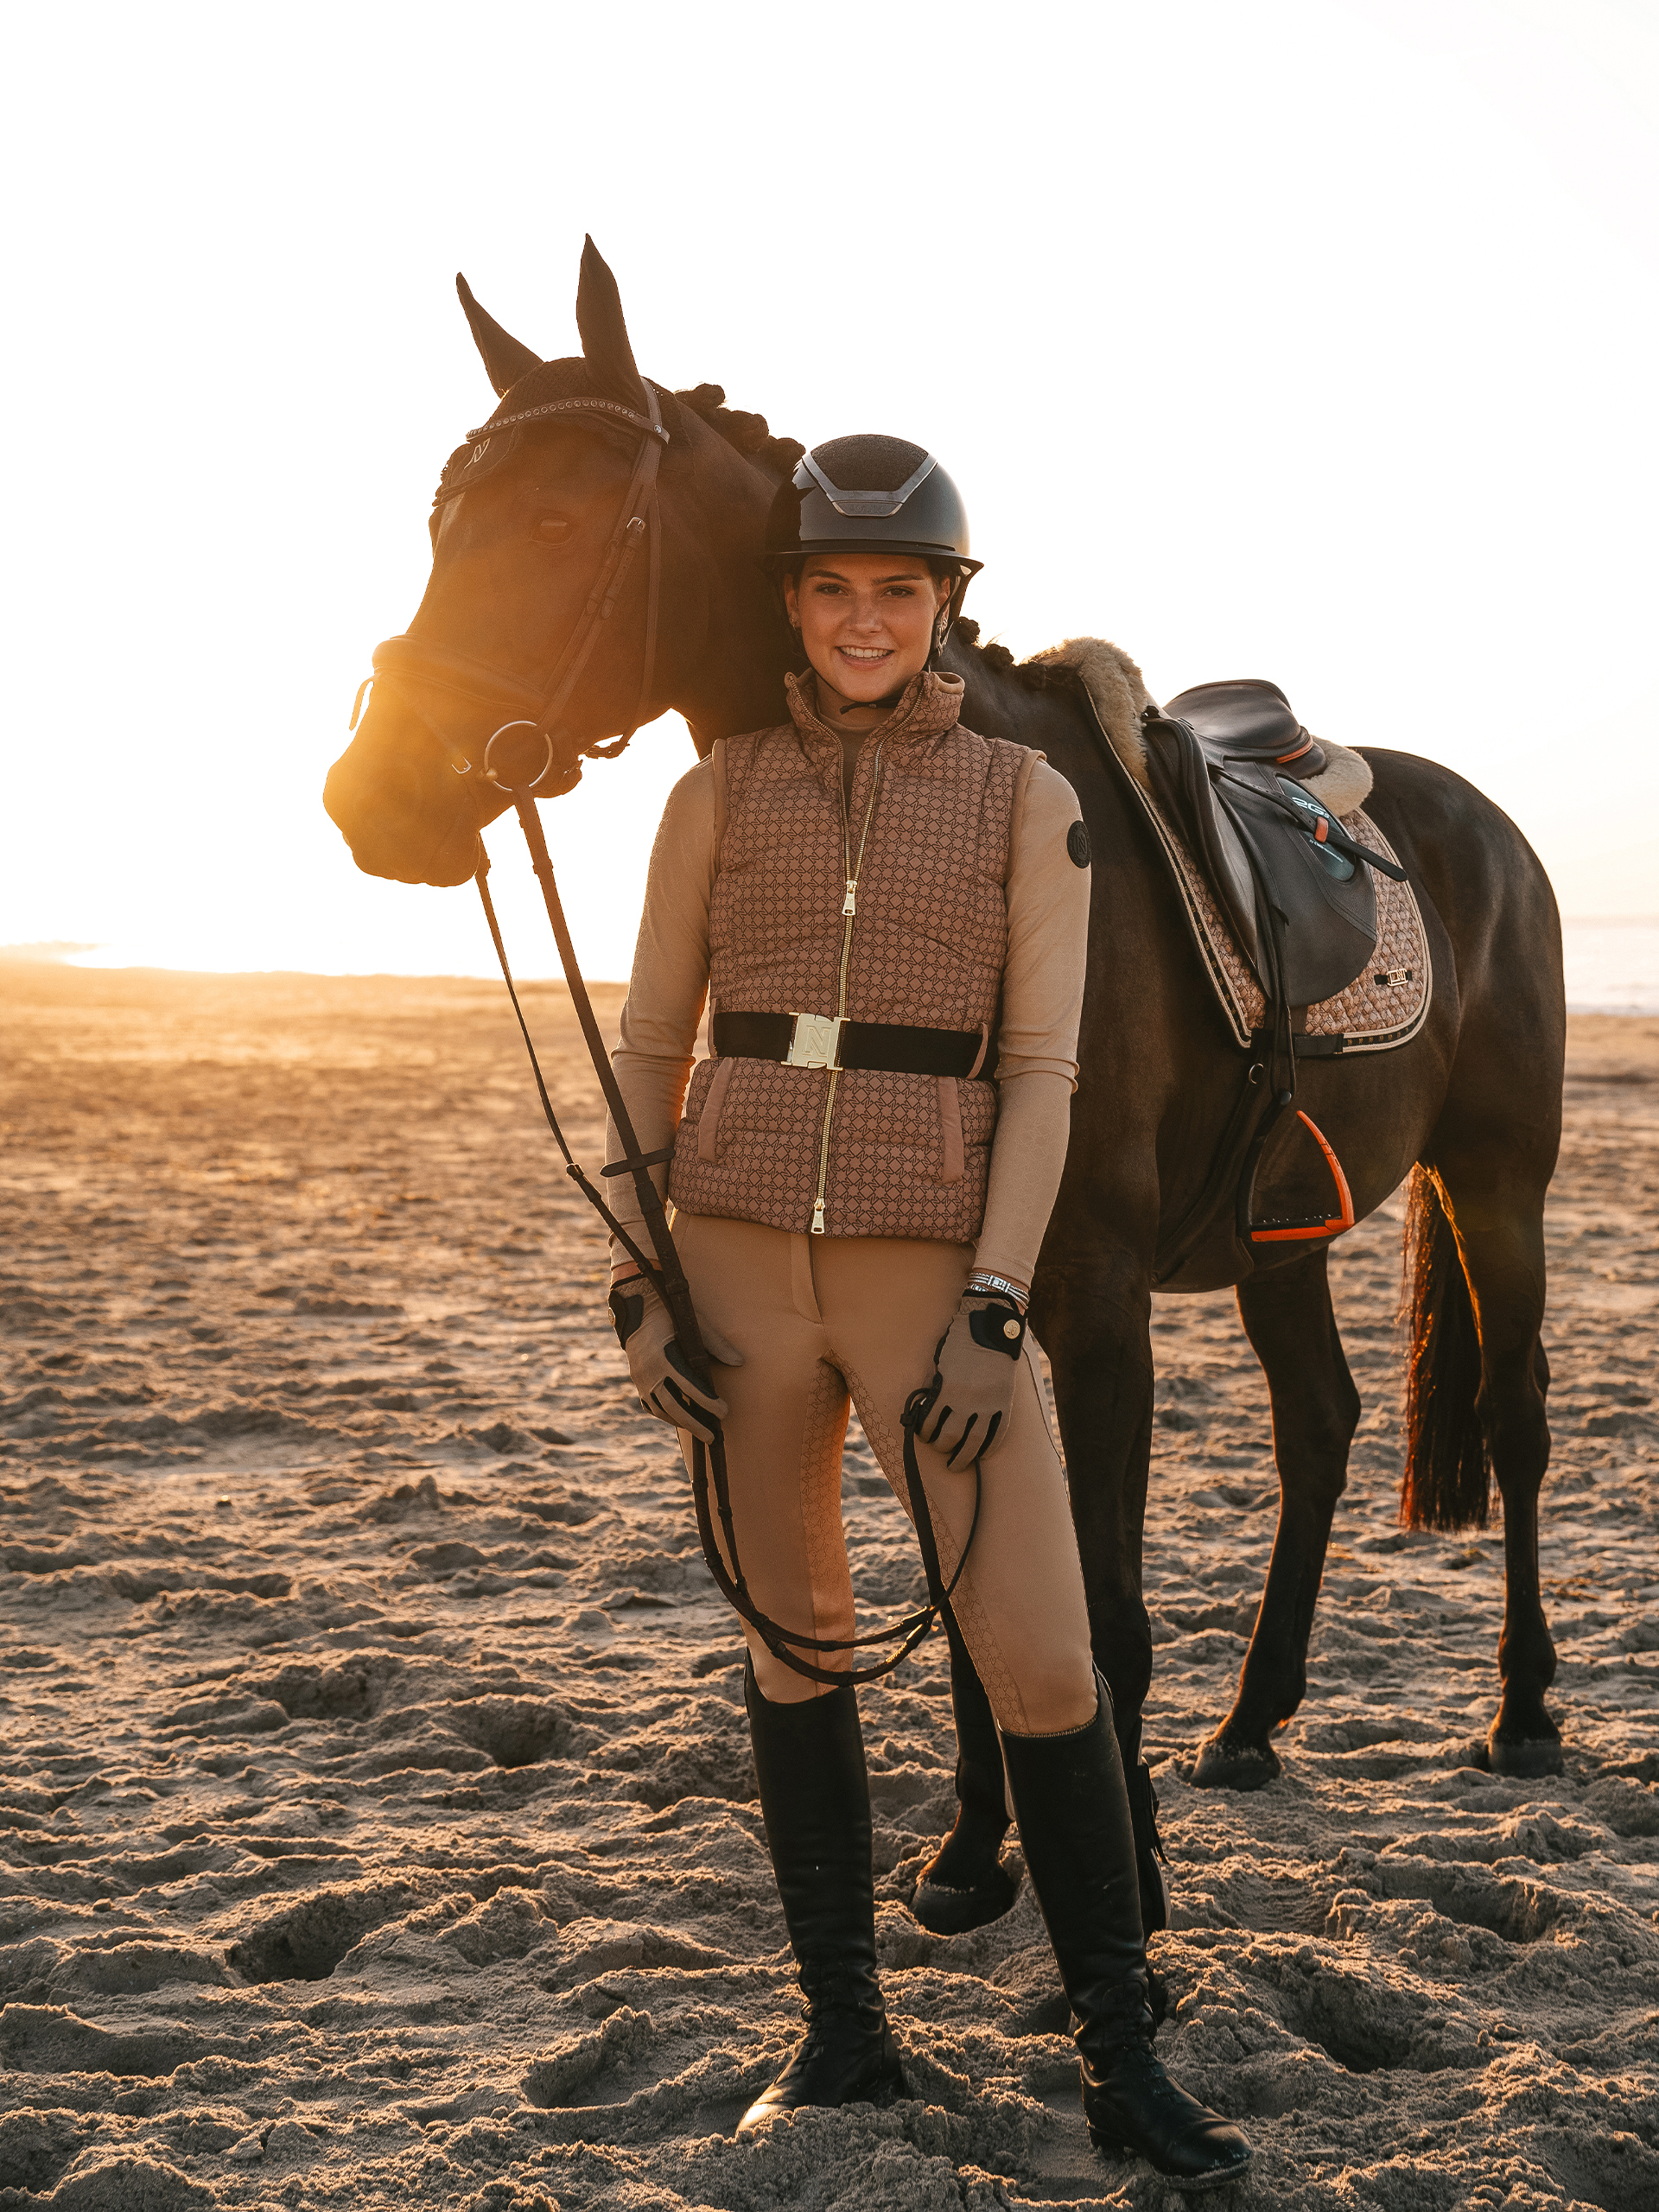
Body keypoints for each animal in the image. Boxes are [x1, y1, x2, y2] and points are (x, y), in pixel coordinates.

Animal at [327, 238, 1574, 1902]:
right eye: (439, 523)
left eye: (558, 520)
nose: (376, 794)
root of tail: (1483, 821)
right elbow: (972, 1598)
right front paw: (982, 1848)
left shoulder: (1093, 1303)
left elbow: (1097, 1609)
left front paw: (1131, 1883)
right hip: (1282, 1236)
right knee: (1318, 1426)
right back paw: (1253, 1725)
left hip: (1496, 1182)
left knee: (1514, 1417)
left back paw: (1524, 1712)